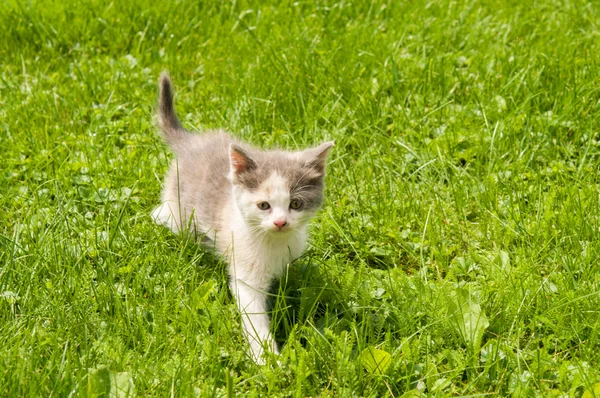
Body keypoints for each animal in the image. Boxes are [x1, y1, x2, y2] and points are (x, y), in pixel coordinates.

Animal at [151, 72, 332, 364]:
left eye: (295, 204)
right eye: (263, 205)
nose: (280, 222)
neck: (273, 244)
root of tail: (193, 143)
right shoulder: (245, 275)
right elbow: (254, 316)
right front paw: (267, 358)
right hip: (180, 210)